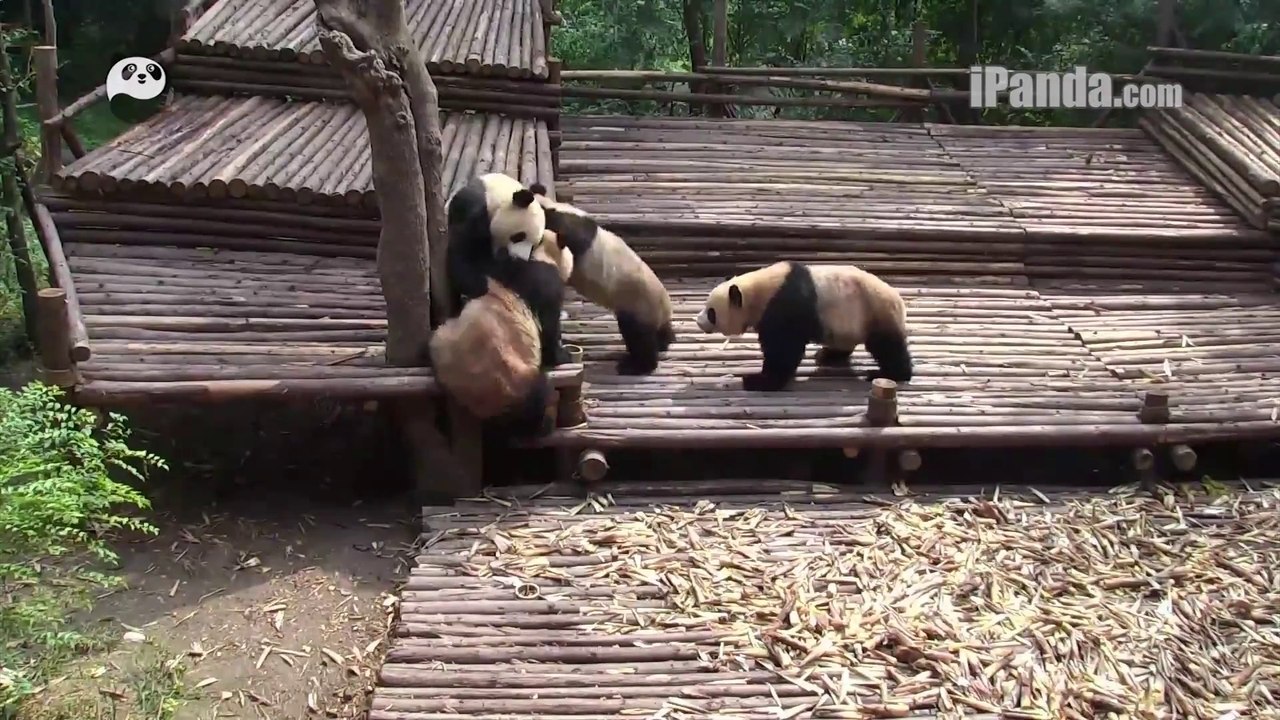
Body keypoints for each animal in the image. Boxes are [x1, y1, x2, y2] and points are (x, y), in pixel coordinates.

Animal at [429, 230, 574, 438]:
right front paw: (562, 355)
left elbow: (469, 270)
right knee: (540, 398)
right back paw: (542, 425)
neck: (538, 253)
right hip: (517, 384)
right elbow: (549, 326)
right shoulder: (546, 280)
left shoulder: (498, 268)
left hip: (443, 343)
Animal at [444, 172, 547, 318]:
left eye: (534, 245)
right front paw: (478, 285)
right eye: (519, 236)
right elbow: (464, 252)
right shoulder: (474, 212)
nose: (519, 258)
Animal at [528, 184, 674, 375]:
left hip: (638, 302)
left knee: (638, 336)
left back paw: (635, 366)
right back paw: (664, 342)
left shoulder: (570, 233)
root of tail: (665, 309)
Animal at [693, 261, 912, 392]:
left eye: (711, 312)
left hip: (875, 312)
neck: (760, 290)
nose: (698, 321)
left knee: (887, 346)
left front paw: (758, 380)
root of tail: (898, 300)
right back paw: (828, 354)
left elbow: (783, 348)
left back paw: (889, 373)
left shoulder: (785, 305)